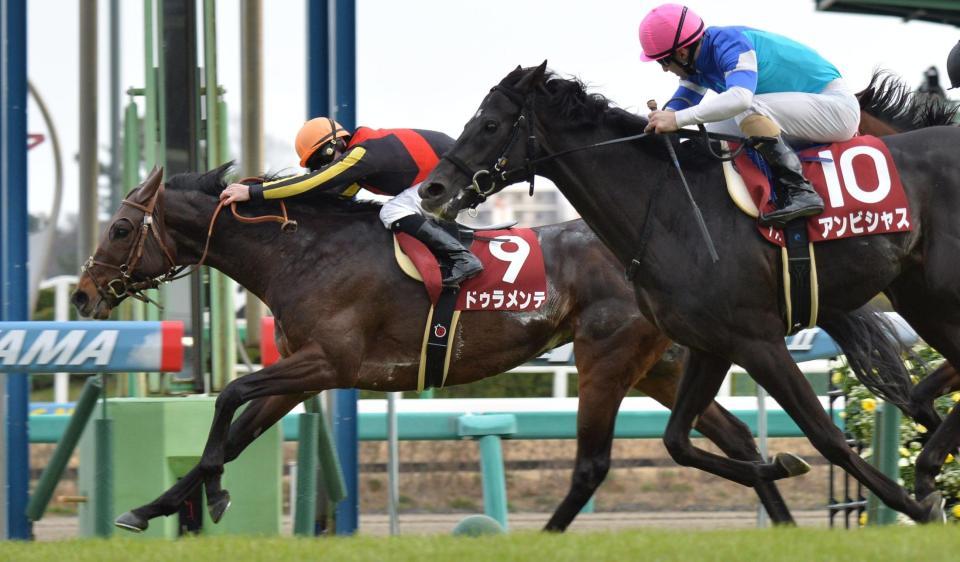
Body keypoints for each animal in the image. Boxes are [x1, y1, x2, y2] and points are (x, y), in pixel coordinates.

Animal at [72, 165, 801, 533]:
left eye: (120, 228)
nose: (80, 296)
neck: (303, 251)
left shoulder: (329, 362)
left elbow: (228, 396)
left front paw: (212, 494)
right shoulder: (303, 376)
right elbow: (239, 427)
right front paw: (154, 507)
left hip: (612, 357)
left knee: (608, 458)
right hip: (663, 364)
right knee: (736, 434)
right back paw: (784, 510)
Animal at [417, 63, 960, 522]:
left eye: (490, 124)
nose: (433, 189)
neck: (672, 209)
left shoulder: (758, 340)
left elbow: (826, 436)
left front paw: (913, 505)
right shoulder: (711, 342)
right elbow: (677, 440)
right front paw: (779, 466)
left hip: (936, 297)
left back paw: (927, 468)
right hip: (921, 298)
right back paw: (929, 457)